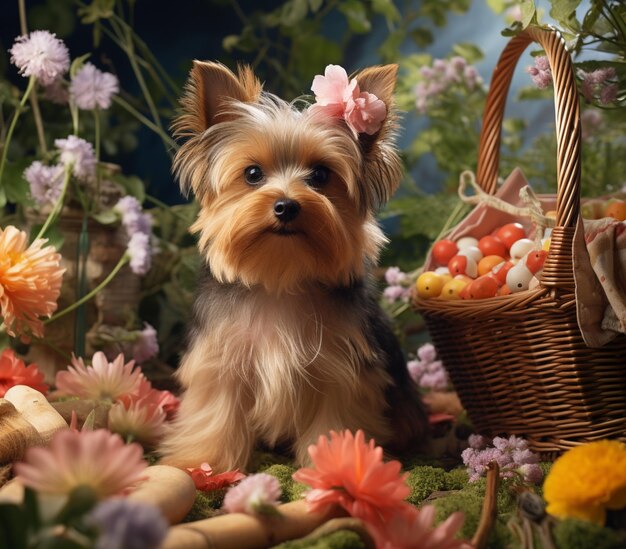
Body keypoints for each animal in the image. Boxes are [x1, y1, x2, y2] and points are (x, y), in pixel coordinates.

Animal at [158, 61, 426, 470]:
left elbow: (336, 419)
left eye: (320, 175)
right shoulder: (221, 362)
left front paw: (333, 465)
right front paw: (205, 463)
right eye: (253, 174)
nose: (286, 205)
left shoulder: (341, 371)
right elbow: (216, 412)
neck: (281, 278)